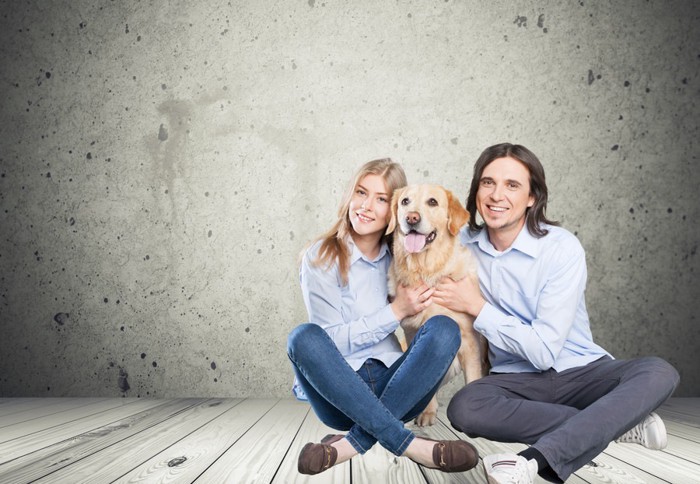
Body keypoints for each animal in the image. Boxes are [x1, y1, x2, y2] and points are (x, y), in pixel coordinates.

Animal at [386, 183, 490, 426]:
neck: (427, 271)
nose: (411, 218)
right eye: (405, 202)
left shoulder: (470, 341)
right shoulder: (414, 335)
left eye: (432, 202)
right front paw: (427, 413)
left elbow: (472, 380)